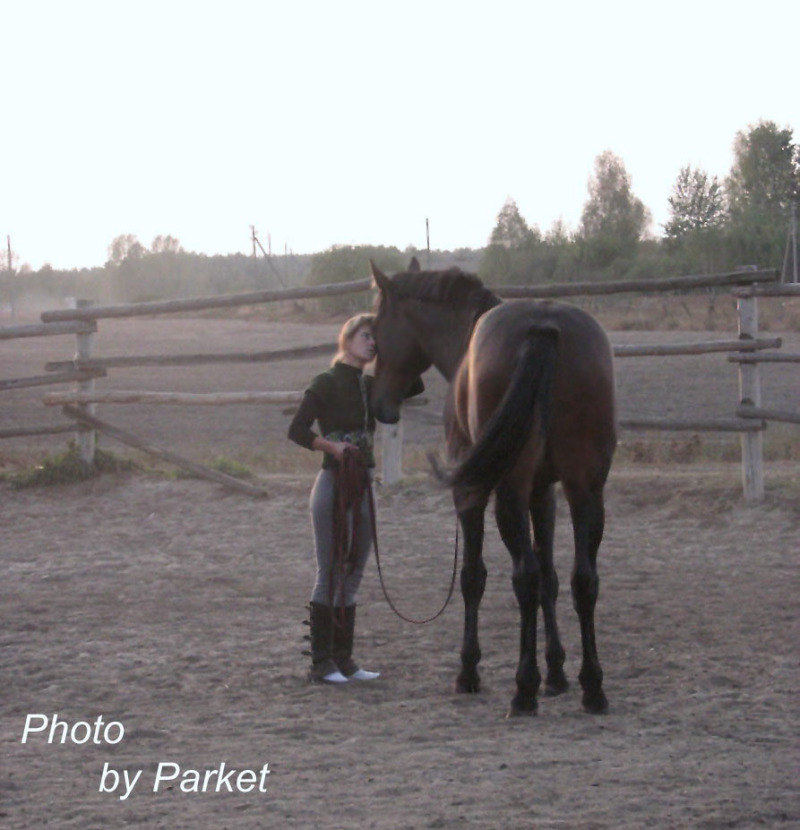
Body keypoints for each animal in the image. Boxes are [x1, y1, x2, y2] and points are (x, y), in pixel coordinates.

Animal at [372, 260, 616, 716]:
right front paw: (556, 673)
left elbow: (474, 577)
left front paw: (469, 671)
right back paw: (592, 687)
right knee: (583, 579)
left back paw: (523, 690)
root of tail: (544, 329)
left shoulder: (471, 492)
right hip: (585, 490)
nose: (381, 404)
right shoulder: (544, 494)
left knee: (524, 577)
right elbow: (551, 578)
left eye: (376, 333)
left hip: (510, 492)